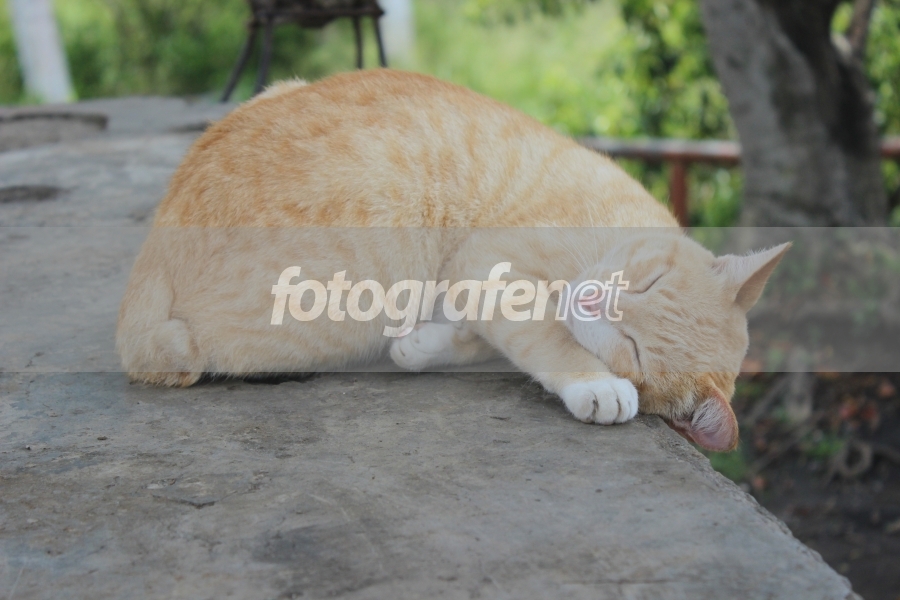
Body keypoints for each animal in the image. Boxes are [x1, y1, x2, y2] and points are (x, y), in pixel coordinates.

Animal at [116, 69, 789, 452]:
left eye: (637, 350)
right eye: (648, 281)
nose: (594, 298)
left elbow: (481, 339)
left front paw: (423, 347)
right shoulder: (489, 269)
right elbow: (543, 336)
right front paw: (594, 383)